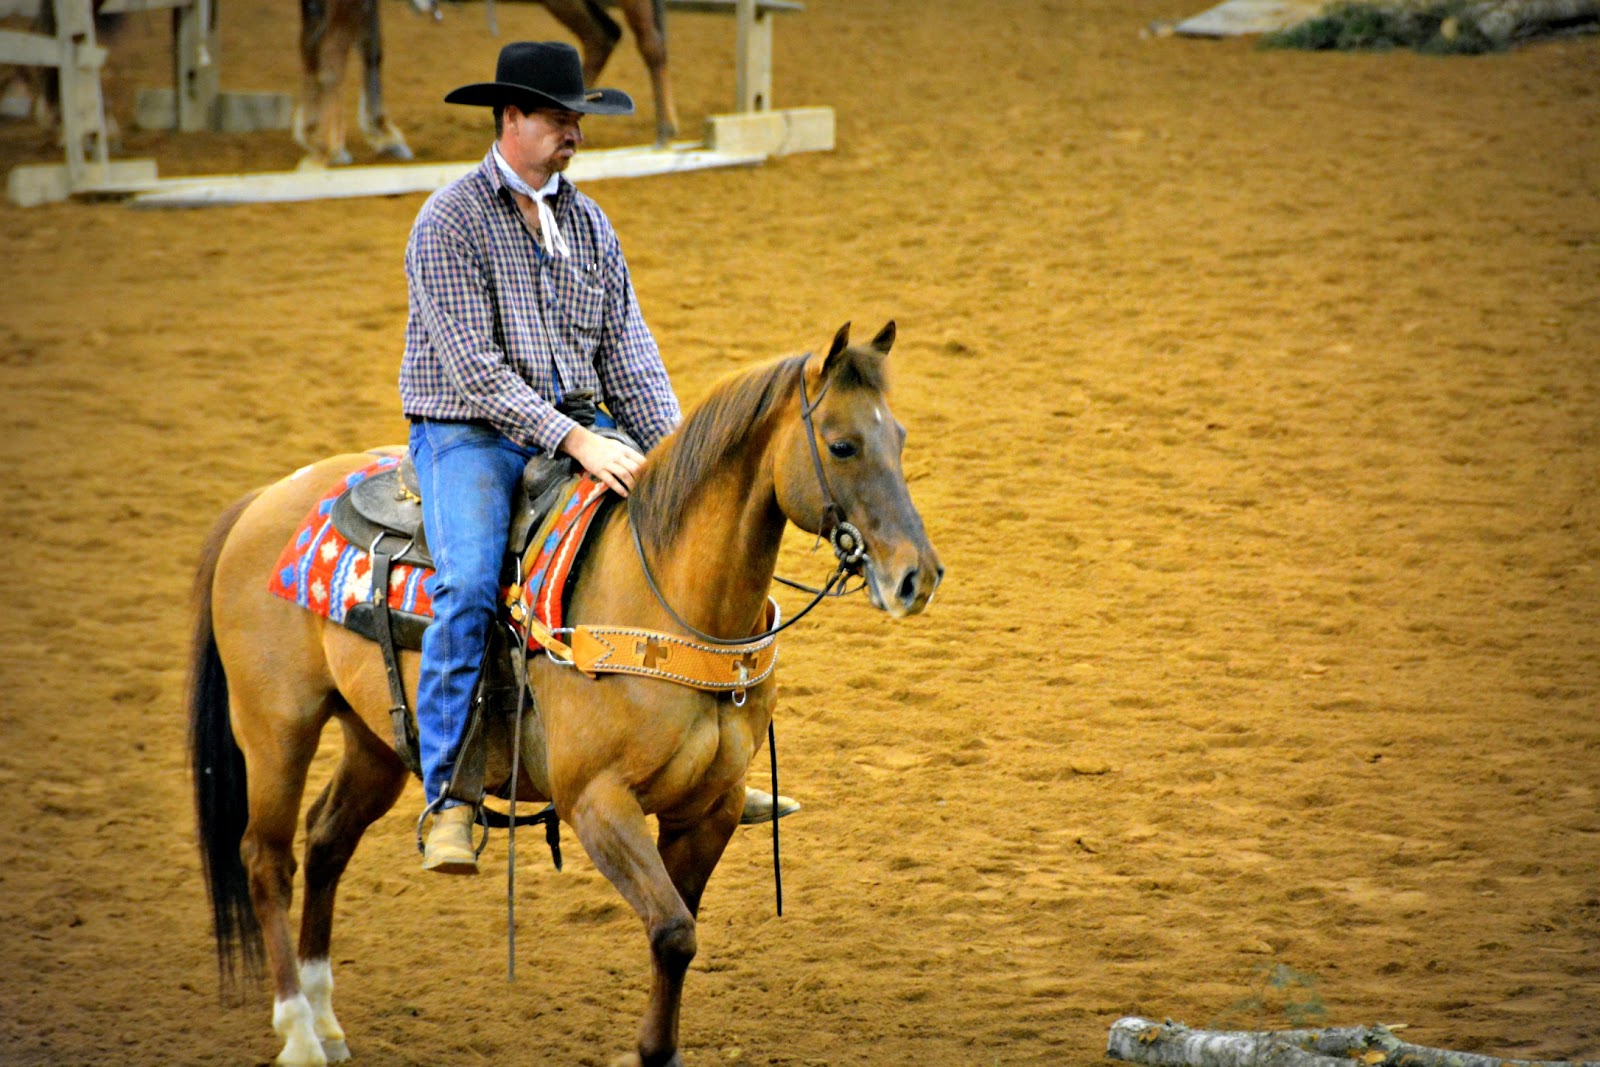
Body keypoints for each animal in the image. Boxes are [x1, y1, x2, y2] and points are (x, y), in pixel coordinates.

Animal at [188, 322, 942, 1067]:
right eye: (842, 444)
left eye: (901, 437)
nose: (918, 576)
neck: (667, 597)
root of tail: (260, 501)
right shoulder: (597, 801)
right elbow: (672, 930)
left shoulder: (712, 807)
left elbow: (679, 930)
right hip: (276, 729)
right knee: (267, 858)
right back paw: (299, 1033)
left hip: (374, 740)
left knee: (327, 840)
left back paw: (327, 1019)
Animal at [296, 0, 678, 167]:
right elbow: (361, 49)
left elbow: (331, 53)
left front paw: (329, 146)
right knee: (602, 35)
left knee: (649, 42)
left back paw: (664, 131)